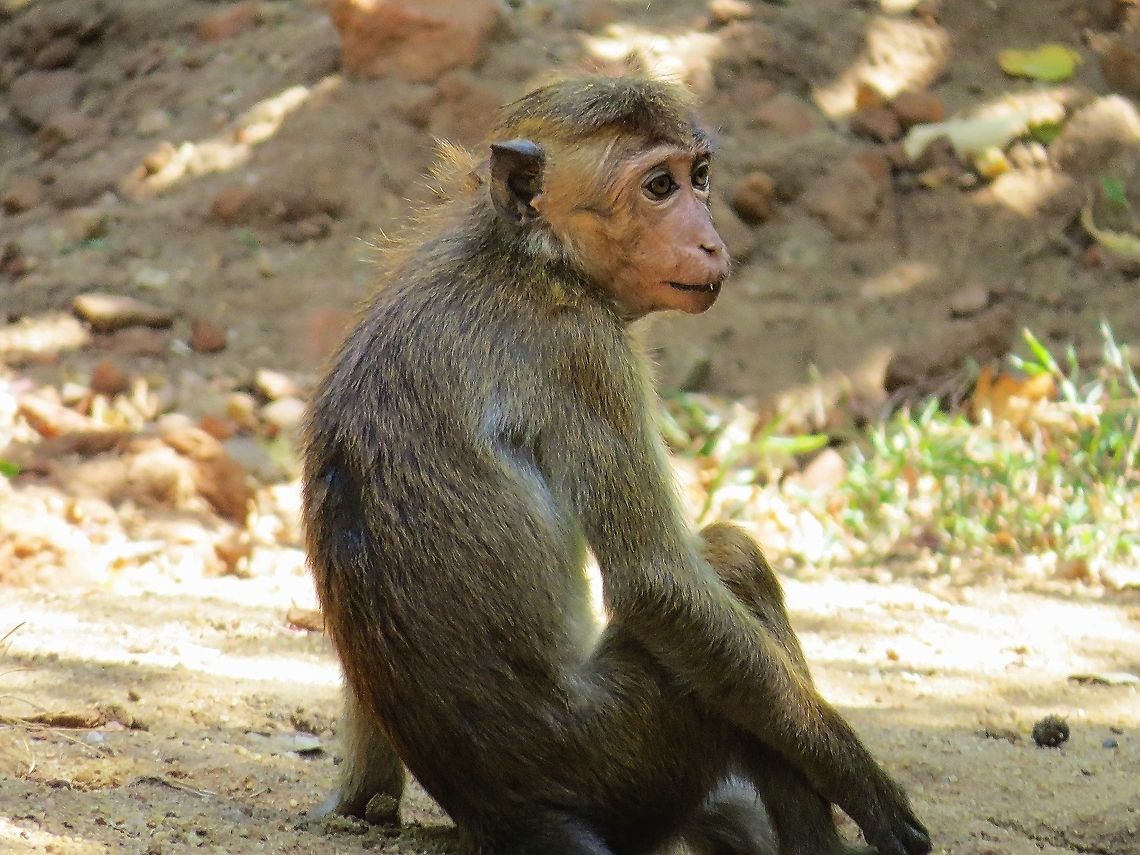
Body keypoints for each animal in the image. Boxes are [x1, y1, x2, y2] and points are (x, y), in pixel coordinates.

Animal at [301, 75, 932, 855]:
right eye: (658, 187)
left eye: (699, 177)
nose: (710, 239)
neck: (531, 256)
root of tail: (505, 814)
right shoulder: (589, 352)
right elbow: (659, 584)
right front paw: (864, 782)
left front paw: (362, 800)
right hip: (626, 755)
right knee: (728, 560)